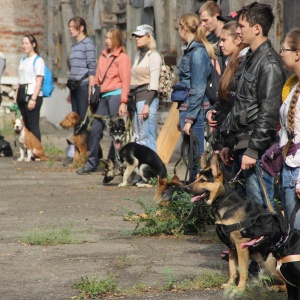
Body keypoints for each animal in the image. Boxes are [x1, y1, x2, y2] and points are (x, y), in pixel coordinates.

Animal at [185, 155, 286, 292]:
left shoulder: (240, 245)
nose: (185, 188)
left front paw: (240, 288)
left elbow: (242, 269)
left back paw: (275, 287)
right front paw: (230, 284)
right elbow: (232, 269)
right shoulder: (231, 248)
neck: (224, 199)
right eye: (195, 178)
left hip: (270, 262)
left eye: (203, 180)